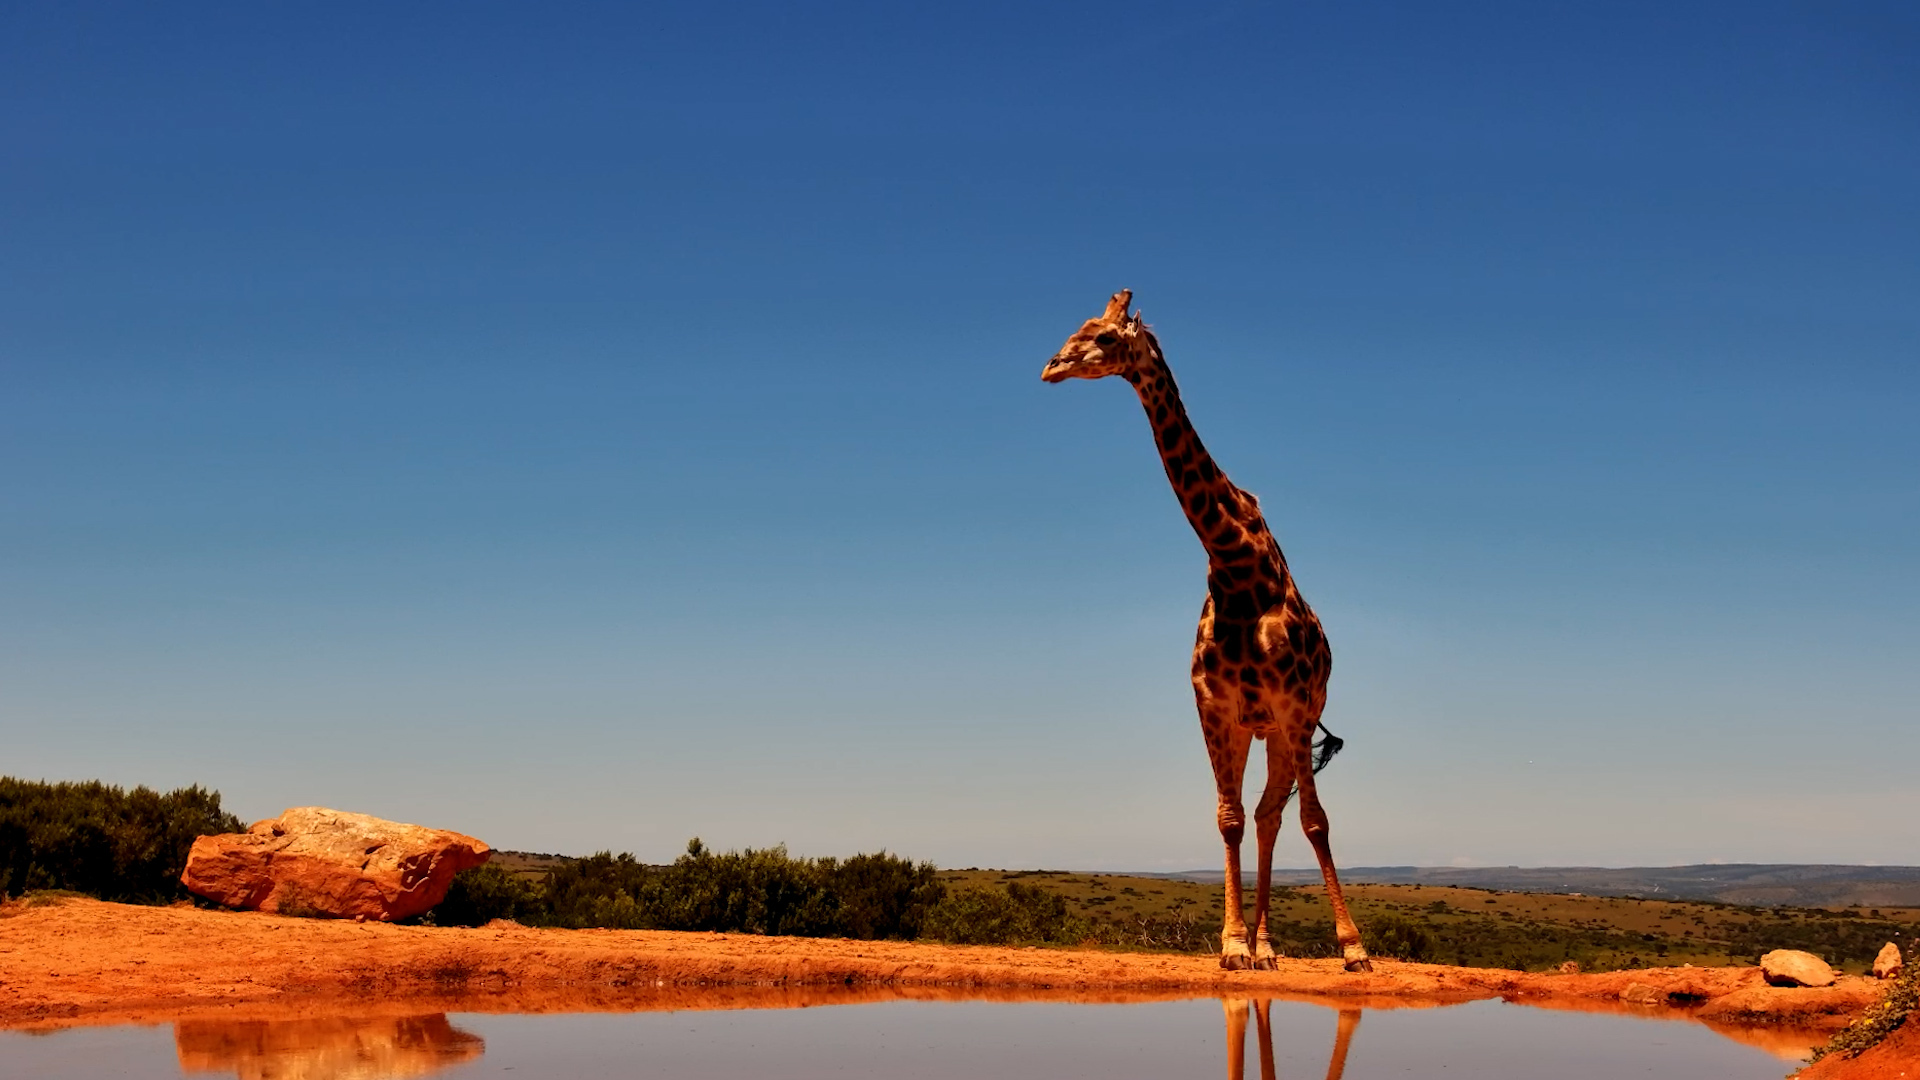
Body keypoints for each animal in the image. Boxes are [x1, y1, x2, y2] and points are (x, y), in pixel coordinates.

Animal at [1042, 289, 1371, 972]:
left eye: (1104, 337)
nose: (1051, 367)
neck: (1234, 560)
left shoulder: (1292, 704)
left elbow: (1317, 820)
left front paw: (1353, 949)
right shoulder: (1215, 706)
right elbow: (1228, 818)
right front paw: (1234, 945)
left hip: (1292, 723)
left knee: (1282, 813)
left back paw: (1288, 944)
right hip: (1258, 728)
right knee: (1263, 813)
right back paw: (1265, 946)